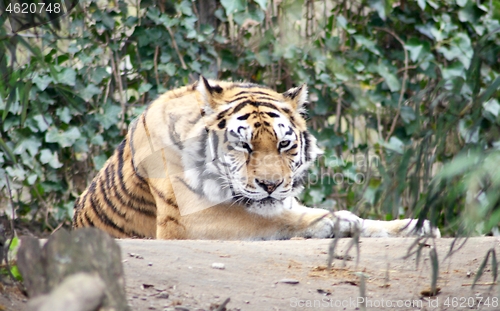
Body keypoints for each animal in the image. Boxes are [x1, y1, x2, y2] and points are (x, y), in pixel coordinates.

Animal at [72, 78, 440, 241]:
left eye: (285, 144)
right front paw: (336, 222)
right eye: (243, 145)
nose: (270, 185)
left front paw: (414, 226)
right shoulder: (191, 220)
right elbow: (272, 219)